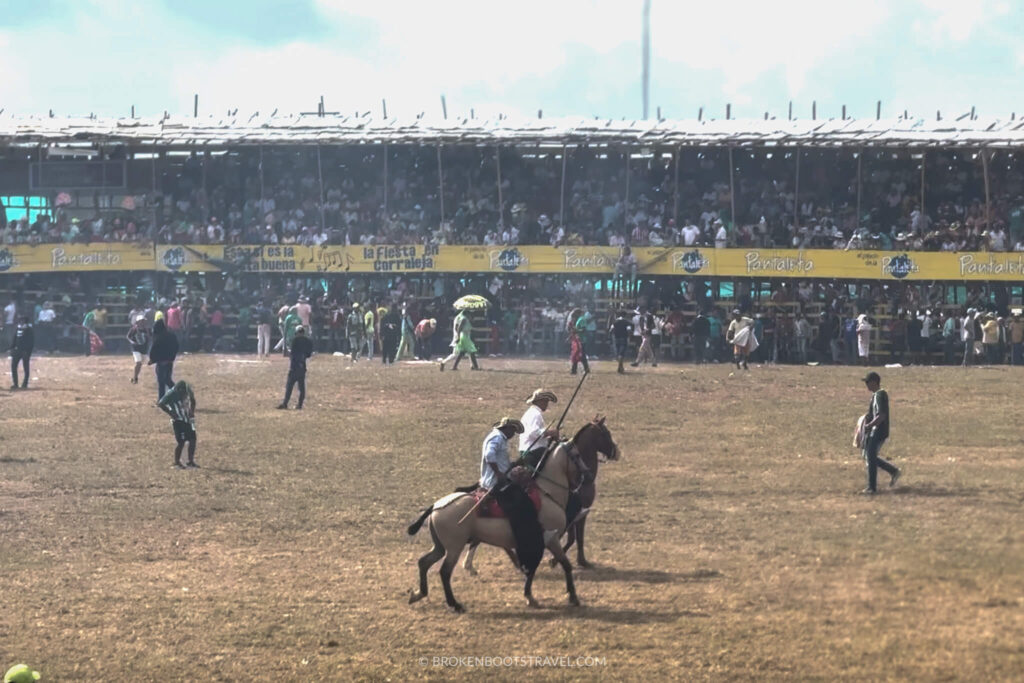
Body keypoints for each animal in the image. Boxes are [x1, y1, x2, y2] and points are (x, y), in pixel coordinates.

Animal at [462, 419, 618, 573]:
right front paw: (569, 561)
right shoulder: (577, 513)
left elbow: (570, 537)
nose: (616, 452)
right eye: (606, 433)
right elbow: (574, 538)